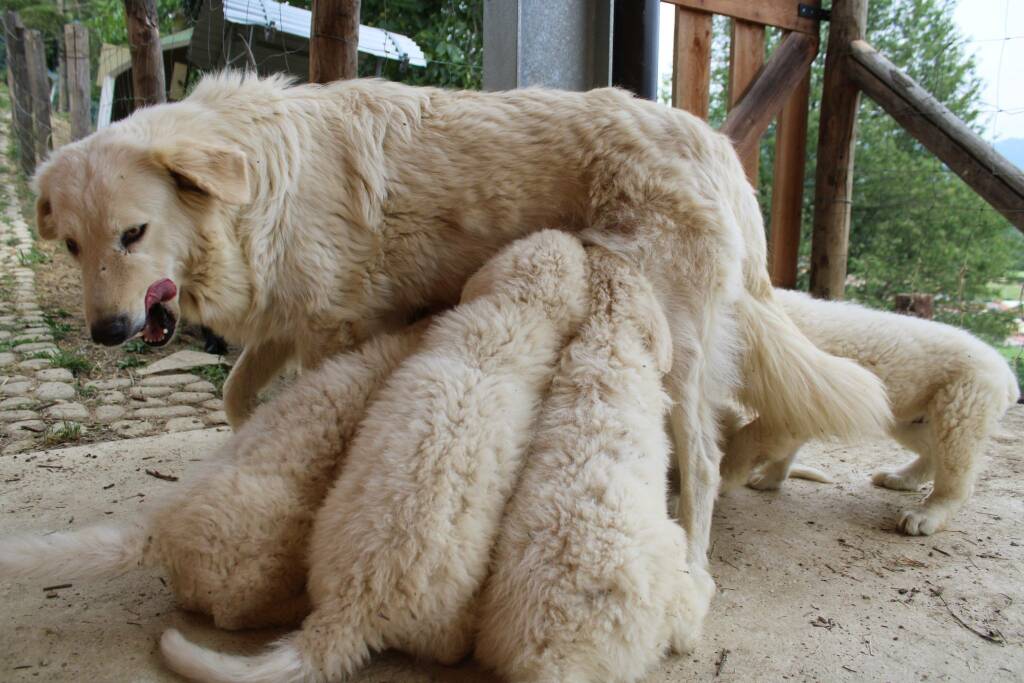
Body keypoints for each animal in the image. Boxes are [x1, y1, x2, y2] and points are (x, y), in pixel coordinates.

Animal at [34, 72, 888, 573]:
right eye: (73, 244)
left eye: (133, 233)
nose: (107, 331)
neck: (260, 177)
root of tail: (713, 144)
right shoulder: (287, 322)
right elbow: (237, 398)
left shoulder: (332, 332)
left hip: (671, 344)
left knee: (707, 461)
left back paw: (695, 560)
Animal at [473, 248, 712, 683]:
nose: (596, 247)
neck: (604, 335)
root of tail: (557, 662)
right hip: (671, 562)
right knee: (685, 624)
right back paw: (703, 587)